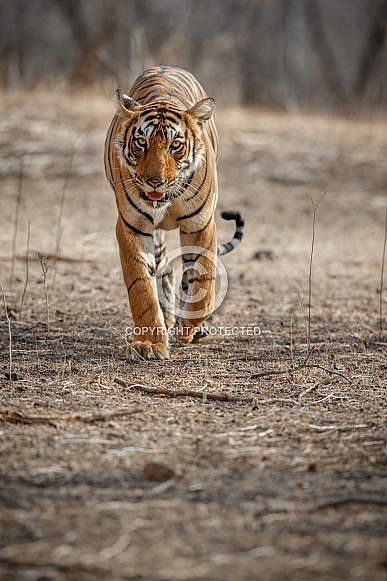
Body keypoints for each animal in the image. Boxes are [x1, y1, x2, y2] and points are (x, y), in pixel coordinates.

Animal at [104, 67, 244, 358]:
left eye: (175, 145)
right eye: (141, 143)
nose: (154, 182)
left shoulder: (201, 224)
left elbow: (204, 281)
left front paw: (188, 328)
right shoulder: (131, 227)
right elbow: (141, 288)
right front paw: (150, 344)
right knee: (165, 269)